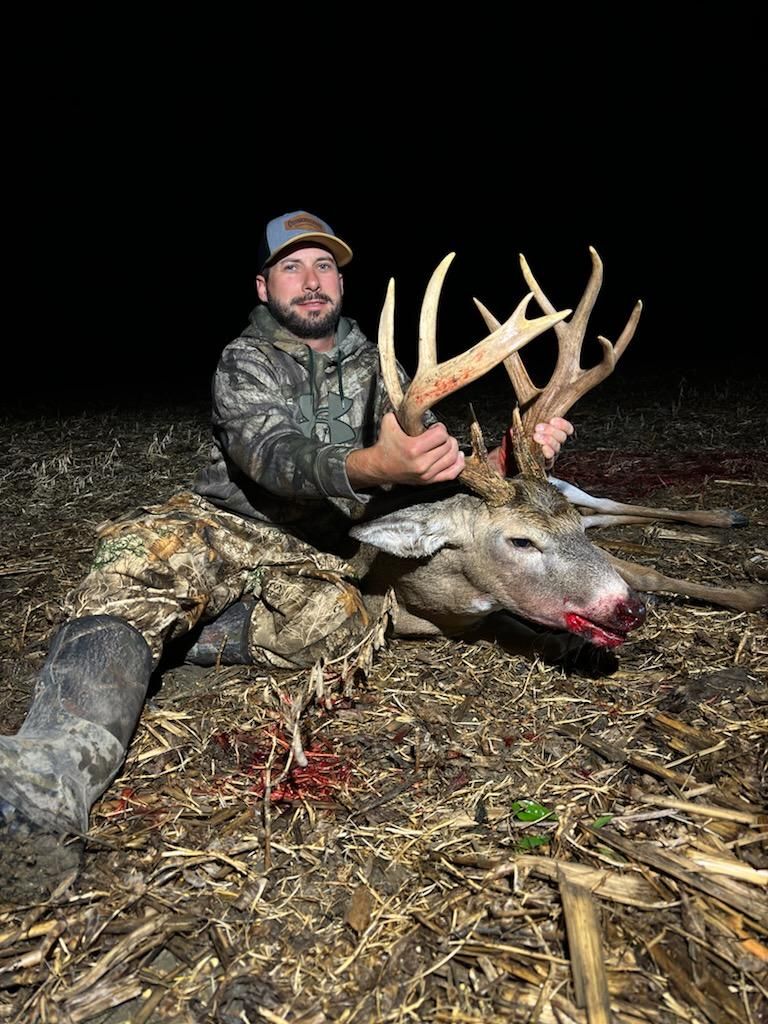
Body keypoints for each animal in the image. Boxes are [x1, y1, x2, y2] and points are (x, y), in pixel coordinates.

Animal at [349, 250, 766, 662]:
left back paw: (725, 516)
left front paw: (750, 594)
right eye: (521, 541)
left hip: (570, 486)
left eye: (570, 530)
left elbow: (647, 572)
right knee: (606, 514)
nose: (631, 610)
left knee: (608, 505)